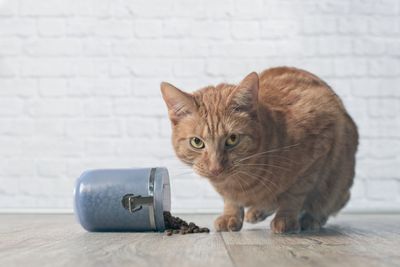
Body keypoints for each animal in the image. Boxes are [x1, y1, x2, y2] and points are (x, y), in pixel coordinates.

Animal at [161, 67, 358, 234]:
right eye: (197, 142)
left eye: (232, 139)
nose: (216, 168)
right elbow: (230, 200)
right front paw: (231, 215)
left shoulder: (320, 147)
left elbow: (295, 194)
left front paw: (286, 218)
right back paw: (257, 211)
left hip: (339, 179)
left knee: (327, 201)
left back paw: (310, 219)